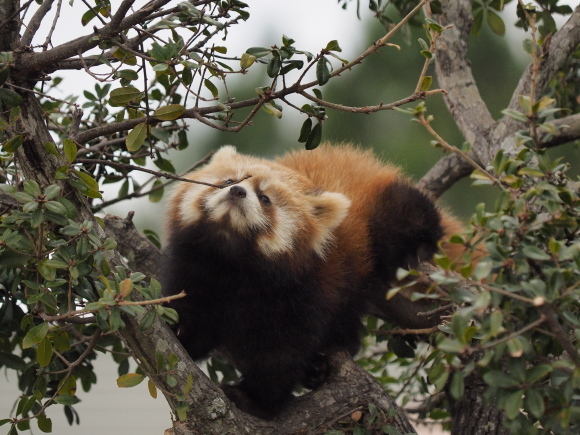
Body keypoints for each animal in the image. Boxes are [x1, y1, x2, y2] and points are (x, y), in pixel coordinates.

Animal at [161, 145, 460, 420]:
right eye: (228, 181)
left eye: (265, 198)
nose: (237, 192)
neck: (232, 259)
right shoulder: (196, 269)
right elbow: (194, 314)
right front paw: (179, 333)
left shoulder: (301, 291)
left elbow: (280, 352)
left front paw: (255, 398)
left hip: (383, 209)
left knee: (407, 213)